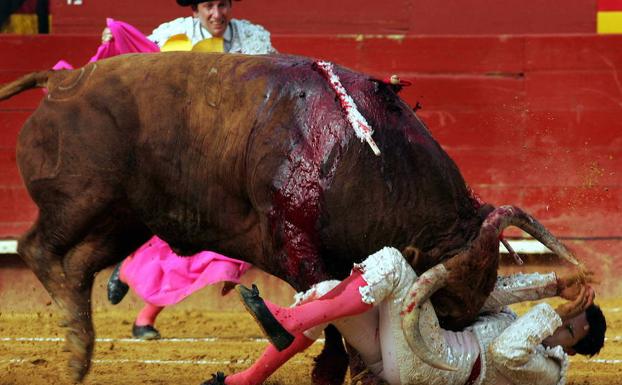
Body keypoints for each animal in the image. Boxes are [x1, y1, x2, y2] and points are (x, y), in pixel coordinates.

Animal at [2, 52, 584, 382]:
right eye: (444, 303)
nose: (454, 336)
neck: (365, 154)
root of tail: (60, 83)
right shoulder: (296, 243)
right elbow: (324, 314)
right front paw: (332, 367)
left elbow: (329, 318)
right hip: (84, 199)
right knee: (37, 248)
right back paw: (78, 347)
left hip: (125, 218)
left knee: (78, 267)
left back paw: (79, 352)